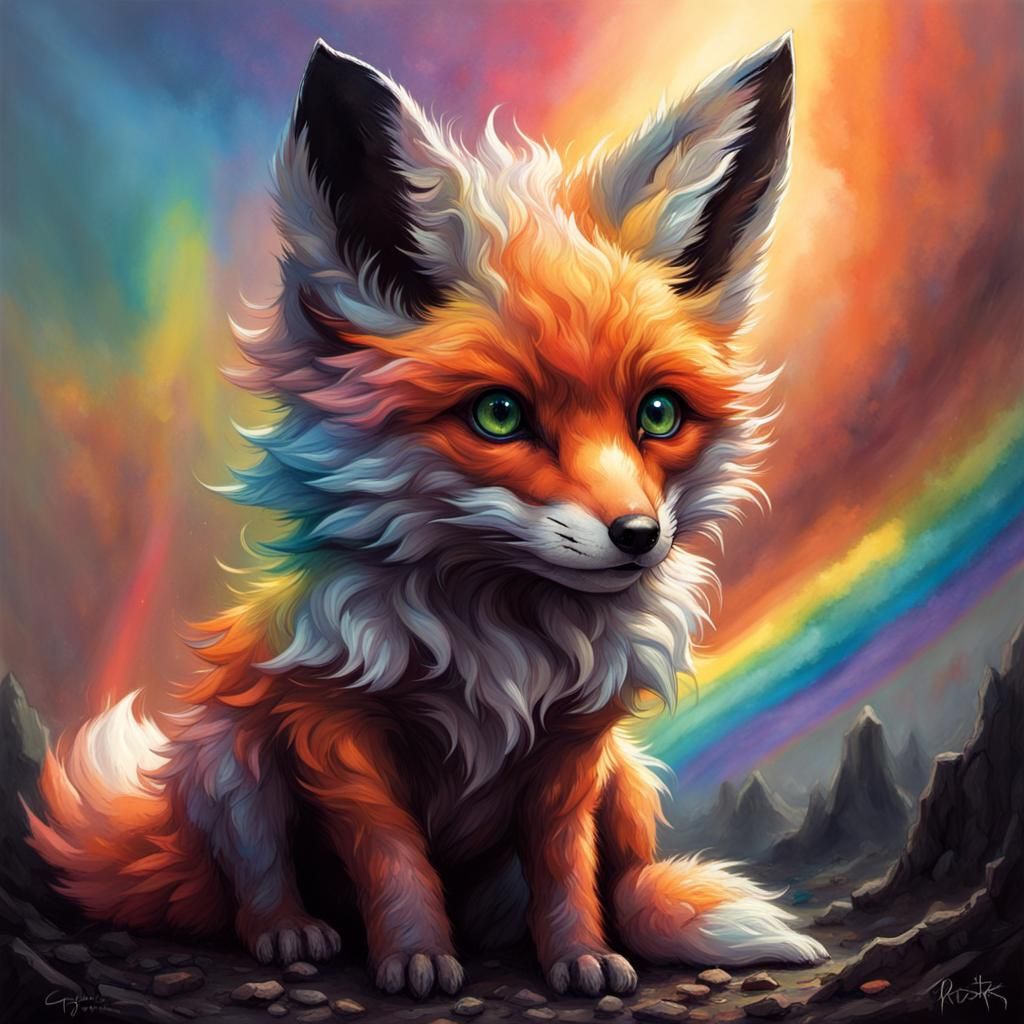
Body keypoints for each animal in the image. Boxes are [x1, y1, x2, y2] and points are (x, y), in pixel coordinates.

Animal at [28, 35, 828, 997]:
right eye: (500, 415)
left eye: (659, 415)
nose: (639, 537)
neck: (503, 641)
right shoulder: (332, 728)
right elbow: (394, 855)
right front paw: (412, 954)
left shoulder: (575, 747)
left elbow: (567, 868)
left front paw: (580, 955)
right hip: (227, 761)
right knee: (251, 881)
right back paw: (292, 934)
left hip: (629, 779)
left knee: (631, 883)